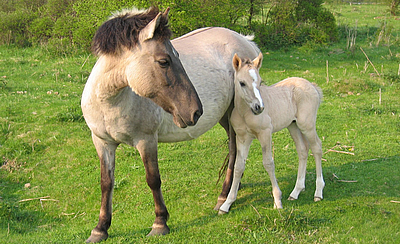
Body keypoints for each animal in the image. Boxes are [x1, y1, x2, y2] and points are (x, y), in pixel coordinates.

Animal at [81, 6, 260, 243]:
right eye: (164, 61)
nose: (196, 111)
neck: (110, 101)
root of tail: (246, 41)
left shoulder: (146, 140)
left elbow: (153, 179)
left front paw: (160, 223)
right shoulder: (102, 143)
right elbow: (106, 183)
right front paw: (100, 228)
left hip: (233, 114)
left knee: (234, 150)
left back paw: (224, 197)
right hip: (224, 116)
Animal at [217, 53, 324, 214]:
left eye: (260, 82)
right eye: (242, 83)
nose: (259, 107)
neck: (245, 112)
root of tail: (312, 86)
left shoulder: (265, 133)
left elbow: (268, 163)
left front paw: (277, 201)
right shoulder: (242, 138)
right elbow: (238, 167)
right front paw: (226, 204)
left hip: (307, 124)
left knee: (317, 147)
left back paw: (318, 192)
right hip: (293, 125)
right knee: (303, 150)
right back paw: (296, 191)